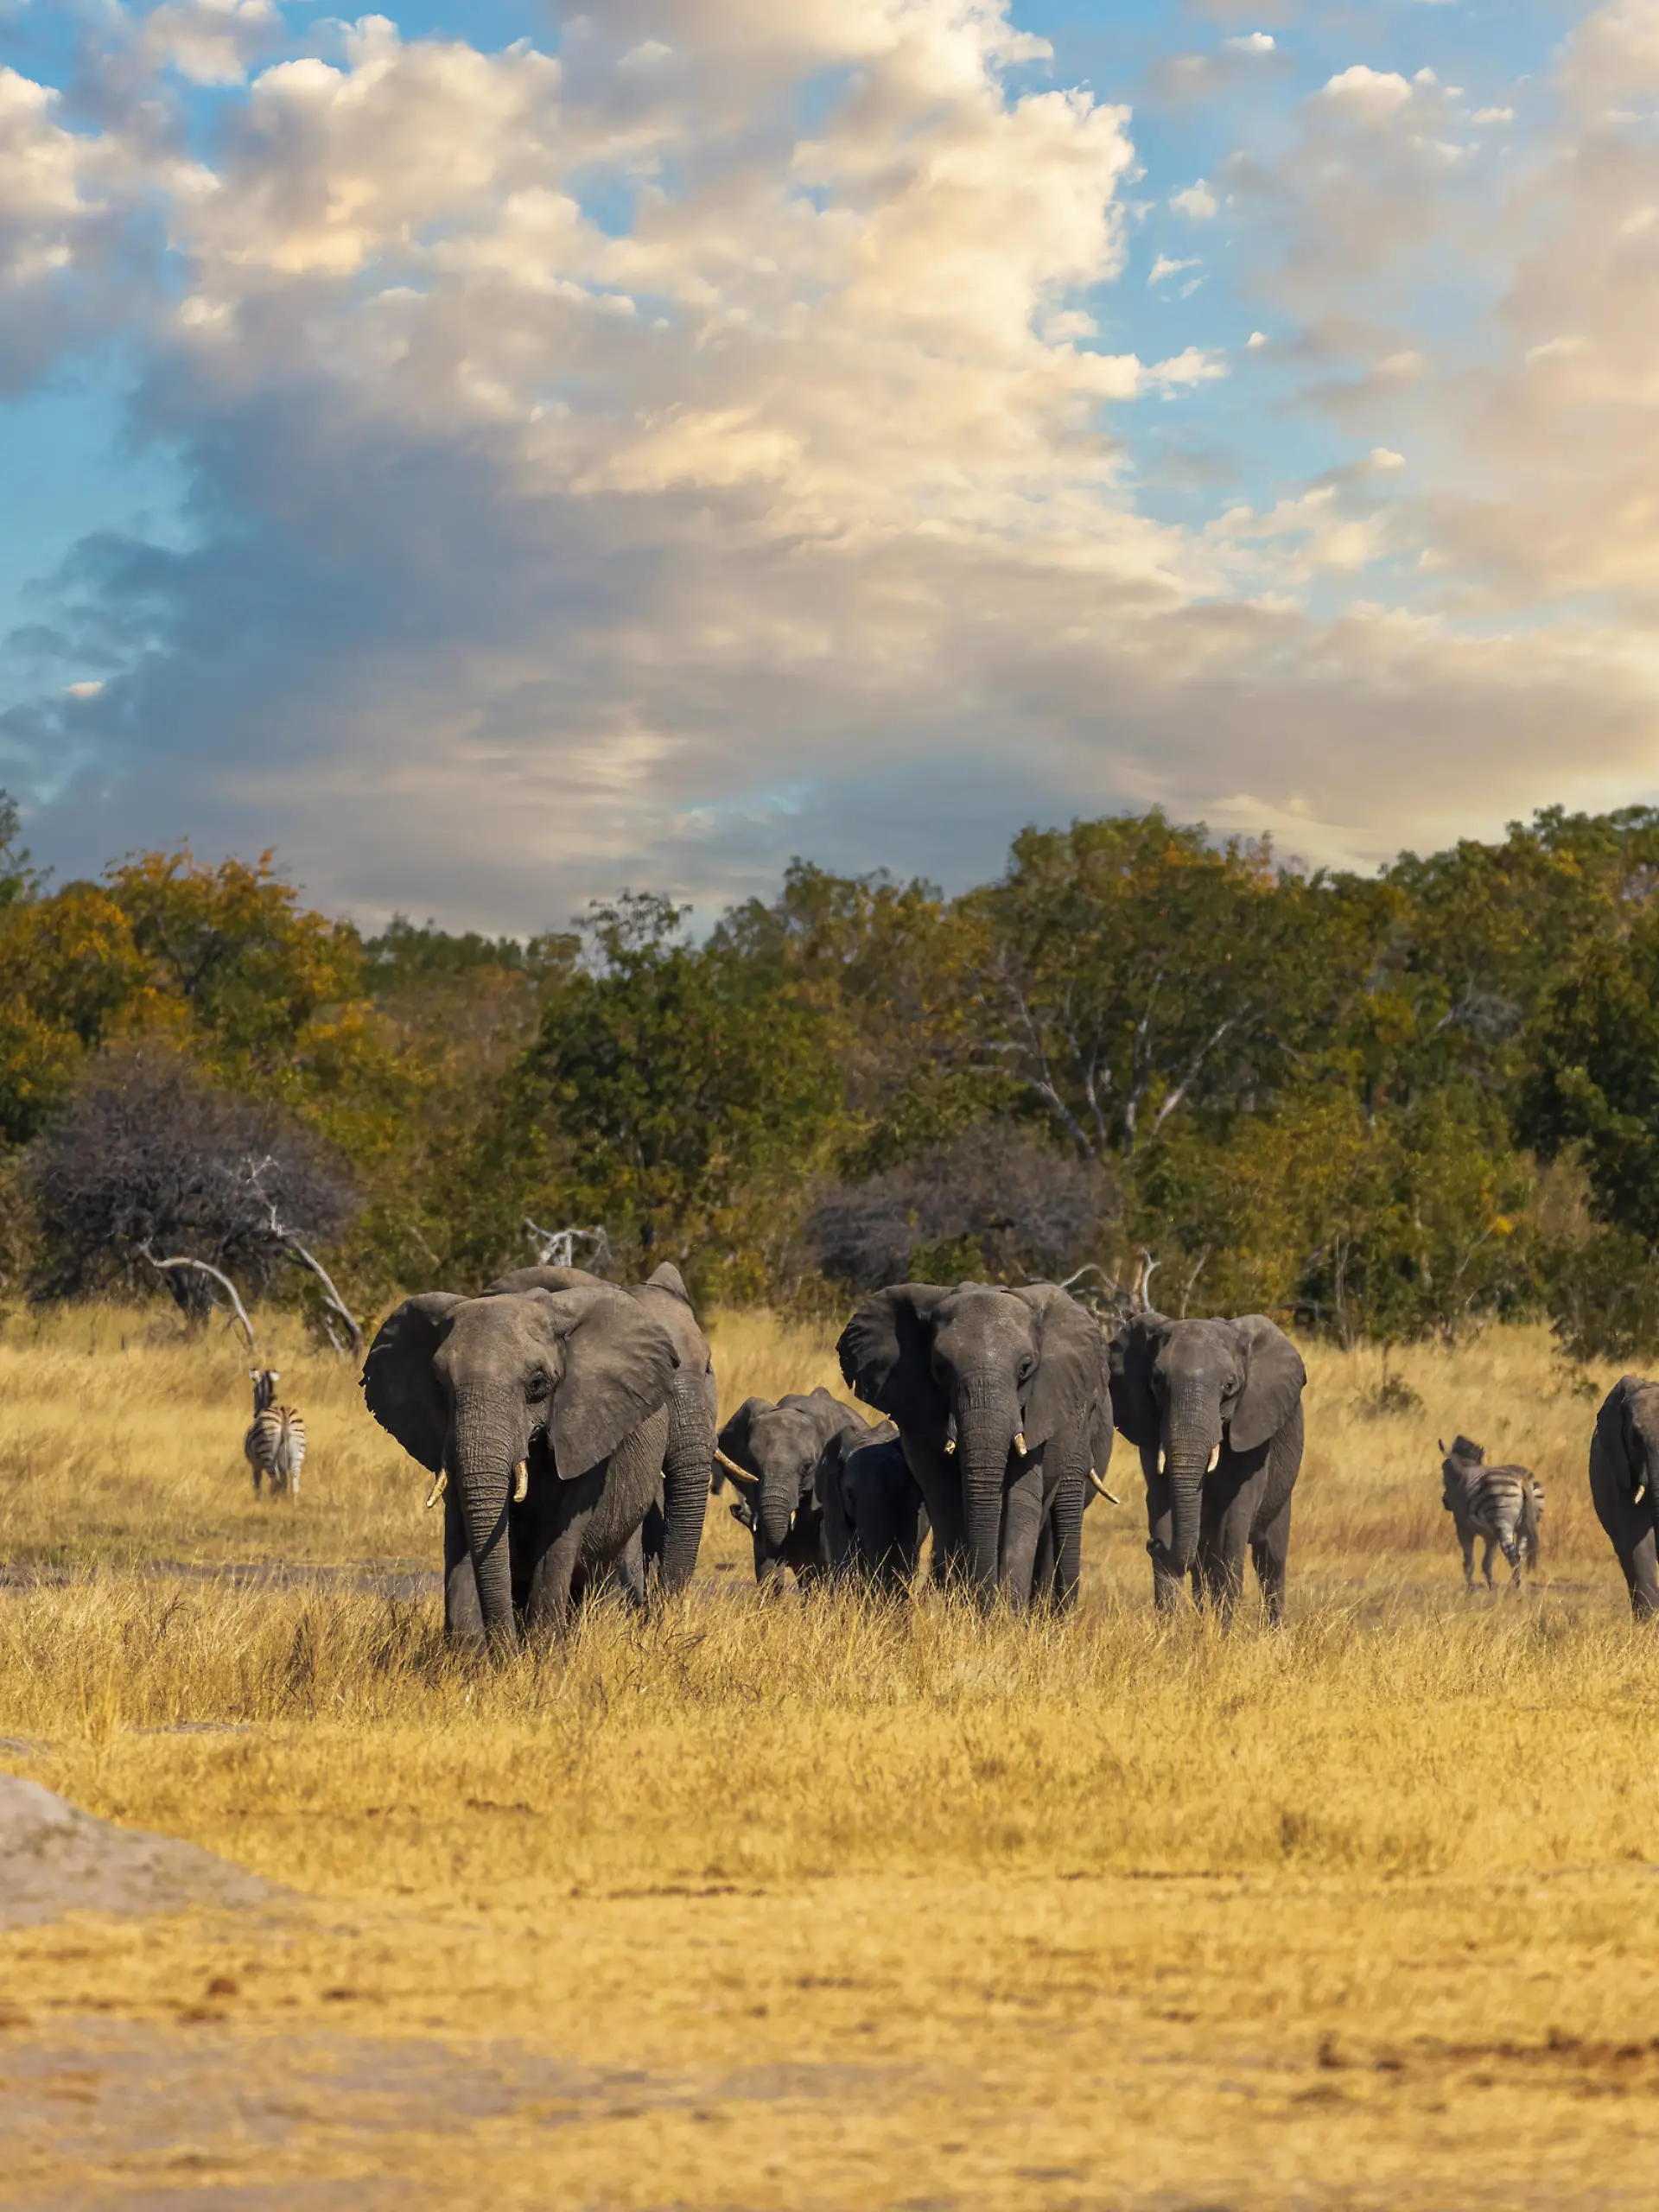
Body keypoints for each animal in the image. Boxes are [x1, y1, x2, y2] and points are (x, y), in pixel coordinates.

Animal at [361, 1280, 680, 1648]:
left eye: (537, 1385)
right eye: (440, 1383)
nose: (507, 1648)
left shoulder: (585, 1426)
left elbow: (559, 1534)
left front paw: (543, 1653)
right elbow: (460, 1529)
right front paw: (468, 1656)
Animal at [836, 1281, 1109, 1611]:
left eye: (1025, 1368)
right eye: (941, 1368)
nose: (986, 1601)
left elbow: (1020, 1499)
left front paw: (1005, 1614)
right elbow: (946, 1499)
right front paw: (962, 1607)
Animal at [1108, 1310, 1306, 1621]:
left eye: (1229, 1386)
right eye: (1156, 1380)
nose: (1152, 1544)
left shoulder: (1252, 1427)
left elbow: (1234, 1527)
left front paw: (1223, 1632)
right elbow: (1162, 1505)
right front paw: (1172, 1631)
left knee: (1270, 1559)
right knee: (1203, 1564)